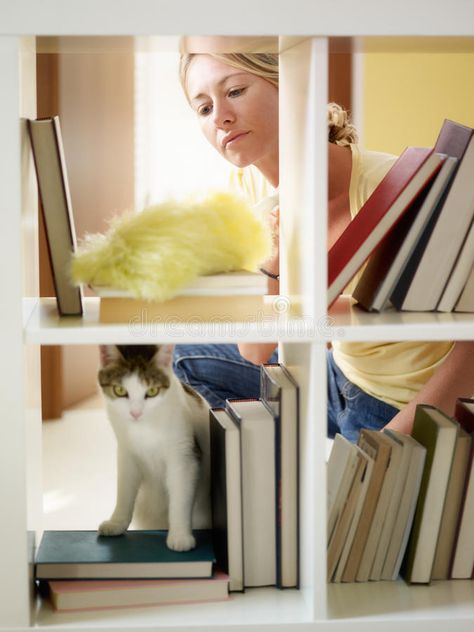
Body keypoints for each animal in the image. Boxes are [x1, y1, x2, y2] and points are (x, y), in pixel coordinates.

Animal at [97, 344, 210, 552]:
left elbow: (180, 498)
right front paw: (117, 522)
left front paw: (180, 536)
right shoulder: (126, 453)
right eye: (120, 390)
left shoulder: (183, 457)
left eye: (151, 391)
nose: (135, 413)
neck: (144, 427)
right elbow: (124, 491)